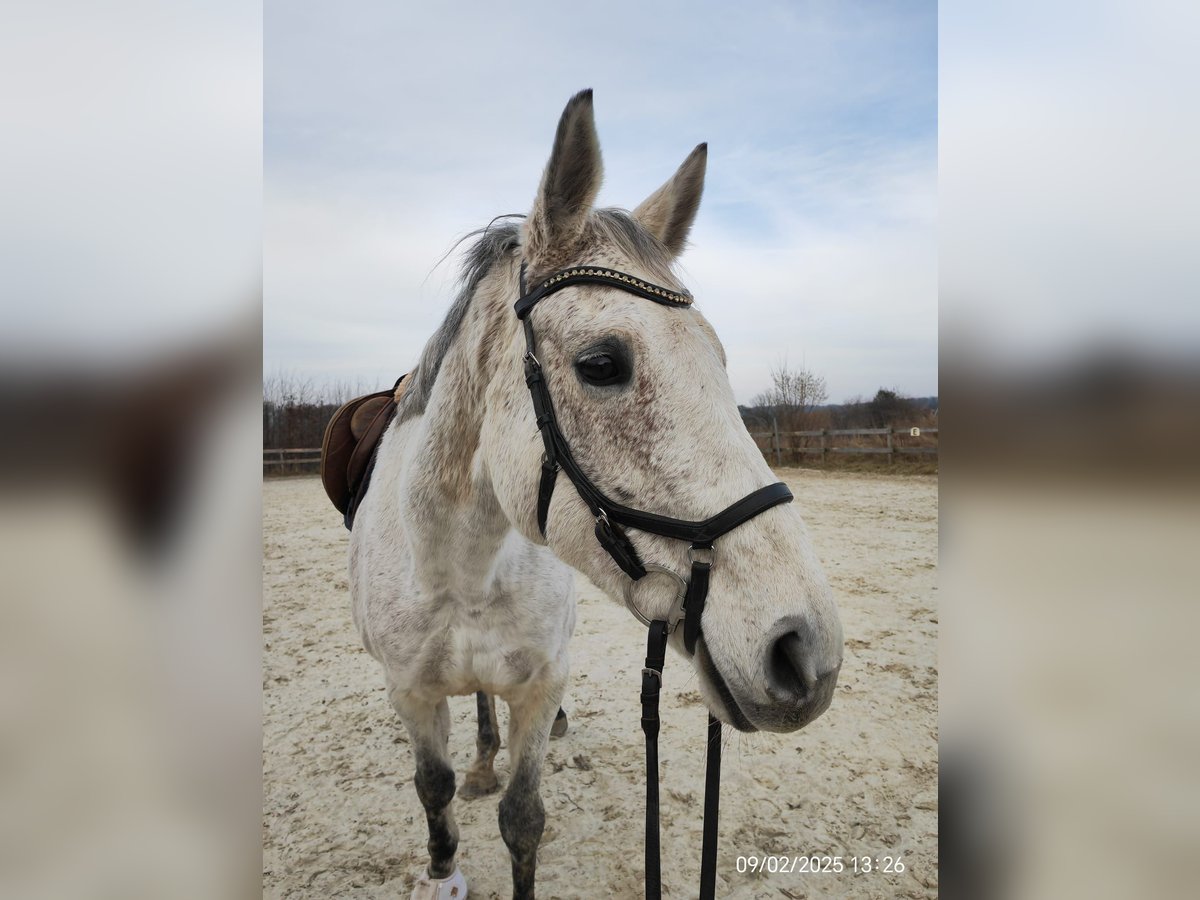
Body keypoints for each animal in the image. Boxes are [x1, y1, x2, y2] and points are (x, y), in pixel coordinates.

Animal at [350, 91, 844, 900]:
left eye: (719, 360)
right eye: (602, 363)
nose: (806, 650)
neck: (460, 570)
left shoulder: (540, 683)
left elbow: (523, 820)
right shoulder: (410, 695)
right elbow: (434, 792)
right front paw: (444, 866)